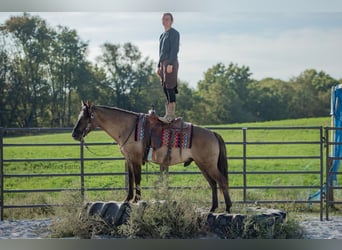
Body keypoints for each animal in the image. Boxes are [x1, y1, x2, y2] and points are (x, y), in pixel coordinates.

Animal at [72, 100, 232, 212]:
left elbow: (137, 179)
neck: (128, 127)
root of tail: (213, 133)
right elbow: (131, 180)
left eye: (85, 117)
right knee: (213, 184)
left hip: (209, 166)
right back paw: (213, 208)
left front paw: (136, 200)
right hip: (203, 166)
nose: (74, 134)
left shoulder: (136, 159)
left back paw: (228, 208)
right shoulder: (129, 160)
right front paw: (127, 199)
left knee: (222, 181)